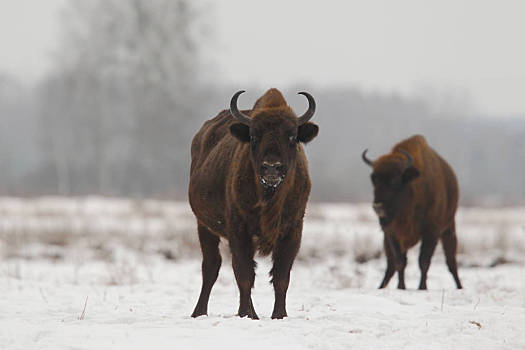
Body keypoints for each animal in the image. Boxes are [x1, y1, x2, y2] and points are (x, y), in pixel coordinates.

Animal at [189, 88, 320, 320]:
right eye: (253, 136)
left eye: (292, 136)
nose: (271, 167)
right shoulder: (239, 230)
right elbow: (244, 274)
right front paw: (247, 314)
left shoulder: (293, 230)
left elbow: (281, 276)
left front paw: (279, 315)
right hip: (204, 226)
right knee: (211, 266)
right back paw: (199, 312)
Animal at [360, 134, 462, 290]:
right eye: (374, 179)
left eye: (395, 180)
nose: (378, 207)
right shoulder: (392, 233)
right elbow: (400, 262)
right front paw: (401, 287)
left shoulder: (431, 232)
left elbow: (424, 261)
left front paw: (422, 288)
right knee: (390, 266)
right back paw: (381, 287)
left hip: (448, 229)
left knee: (451, 262)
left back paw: (459, 286)